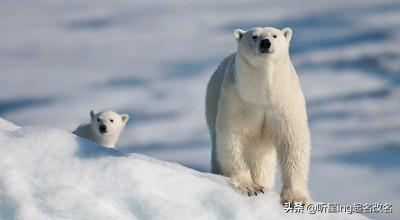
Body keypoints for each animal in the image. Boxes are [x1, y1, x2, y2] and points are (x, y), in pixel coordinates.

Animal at [206, 27, 312, 205]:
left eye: (275, 35)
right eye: (254, 36)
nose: (265, 43)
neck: (263, 94)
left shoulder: (284, 100)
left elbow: (292, 140)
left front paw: (295, 197)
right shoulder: (238, 98)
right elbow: (232, 136)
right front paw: (250, 187)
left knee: (262, 161)